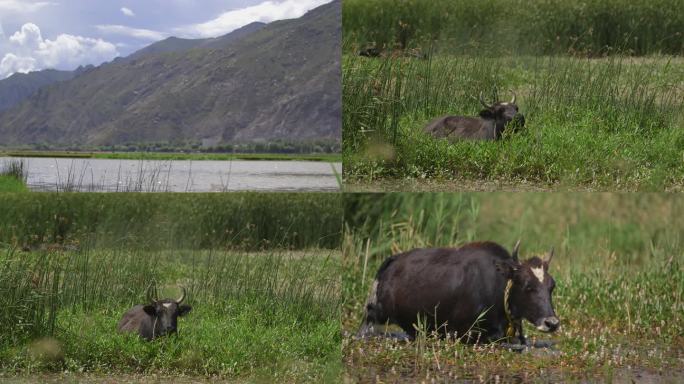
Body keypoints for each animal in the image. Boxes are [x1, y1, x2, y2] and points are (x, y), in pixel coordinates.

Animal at [356, 242, 560, 344]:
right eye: (527, 285)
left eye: (552, 285)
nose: (552, 323)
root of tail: (392, 260)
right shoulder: (461, 332)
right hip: (374, 315)